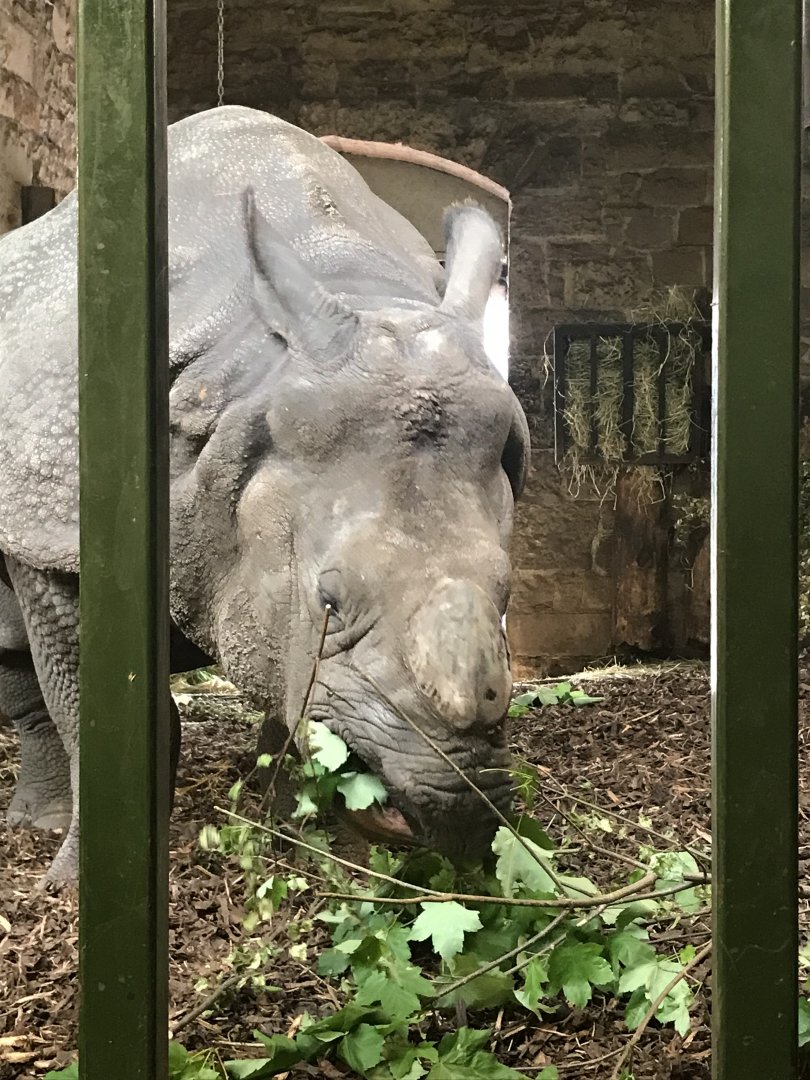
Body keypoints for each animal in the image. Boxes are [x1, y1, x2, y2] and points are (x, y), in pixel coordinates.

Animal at [0, 105, 530, 885]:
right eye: (329, 600)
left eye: (506, 594)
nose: (458, 804)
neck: (239, 384)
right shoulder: (49, 521)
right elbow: (84, 710)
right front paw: (72, 882)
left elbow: (287, 699)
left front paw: (298, 847)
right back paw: (38, 826)